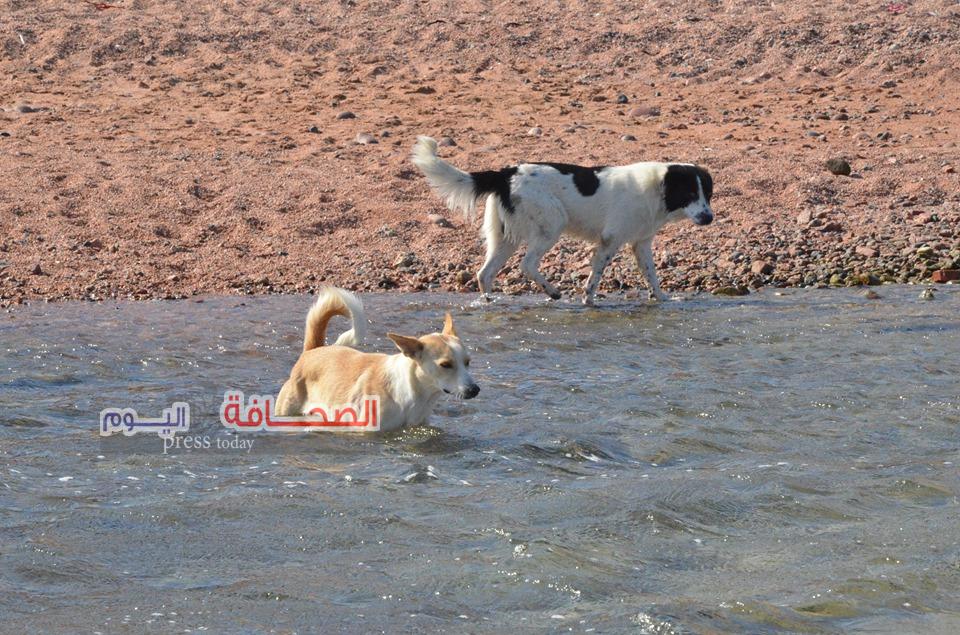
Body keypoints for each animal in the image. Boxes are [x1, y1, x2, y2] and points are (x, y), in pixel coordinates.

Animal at [276, 290, 478, 432]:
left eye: (468, 362)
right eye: (445, 365)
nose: (475, 390)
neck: (413, 394)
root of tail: (313, 350)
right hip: (286, 411)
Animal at [412, 138, 712, 306]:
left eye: (706, 194)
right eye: (689, 193)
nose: (709, 217)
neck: (656, 188)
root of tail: (506, 173)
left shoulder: (641, 244)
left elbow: (652, 276)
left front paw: (661, 299)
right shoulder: (609, 242)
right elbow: (594, 278)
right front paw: (587, 301)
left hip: (505, 238)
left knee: (484, 273)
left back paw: (490, 303)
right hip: (551, 225)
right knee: (526, 264)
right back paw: (553, 292)